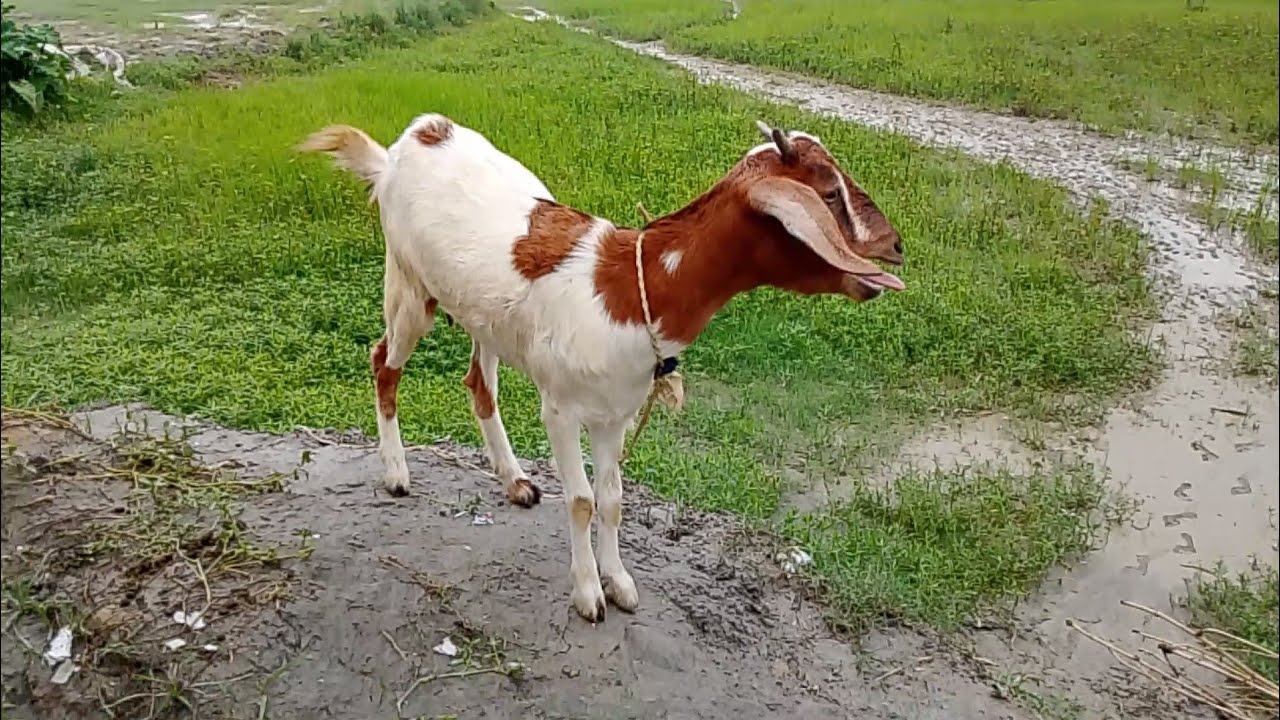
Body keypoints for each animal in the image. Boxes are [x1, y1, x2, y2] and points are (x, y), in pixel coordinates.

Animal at [299, 114, 906, 622]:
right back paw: (396, 473)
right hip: (407, 285)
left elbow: (613, 501)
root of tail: (404, 145)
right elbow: (583, 499)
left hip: (481, 315)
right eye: (829, 193)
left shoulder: (617, 414)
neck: (634, 290)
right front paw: (589, 594)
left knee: (478, 382)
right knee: (384, 363)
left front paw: (620, 583)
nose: (897, 246)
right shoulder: (561, 411)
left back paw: (514, 480)